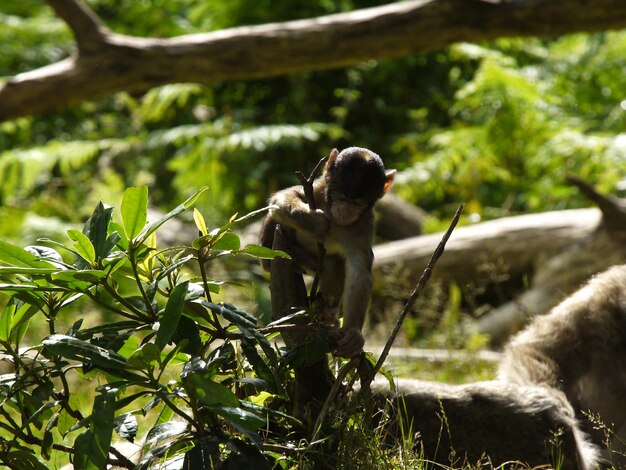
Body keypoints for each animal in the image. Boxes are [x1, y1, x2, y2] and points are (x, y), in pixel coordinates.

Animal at [258, 147, 394, 356]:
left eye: (358, 203)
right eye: (340, 196)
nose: (345, 210)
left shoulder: (364, 225)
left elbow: (359, 273)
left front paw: (353, 332)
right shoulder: (316, 190)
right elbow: (281, 200)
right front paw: (314, 221)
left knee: (333, 263)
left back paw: (326, 311)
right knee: (277, 222)